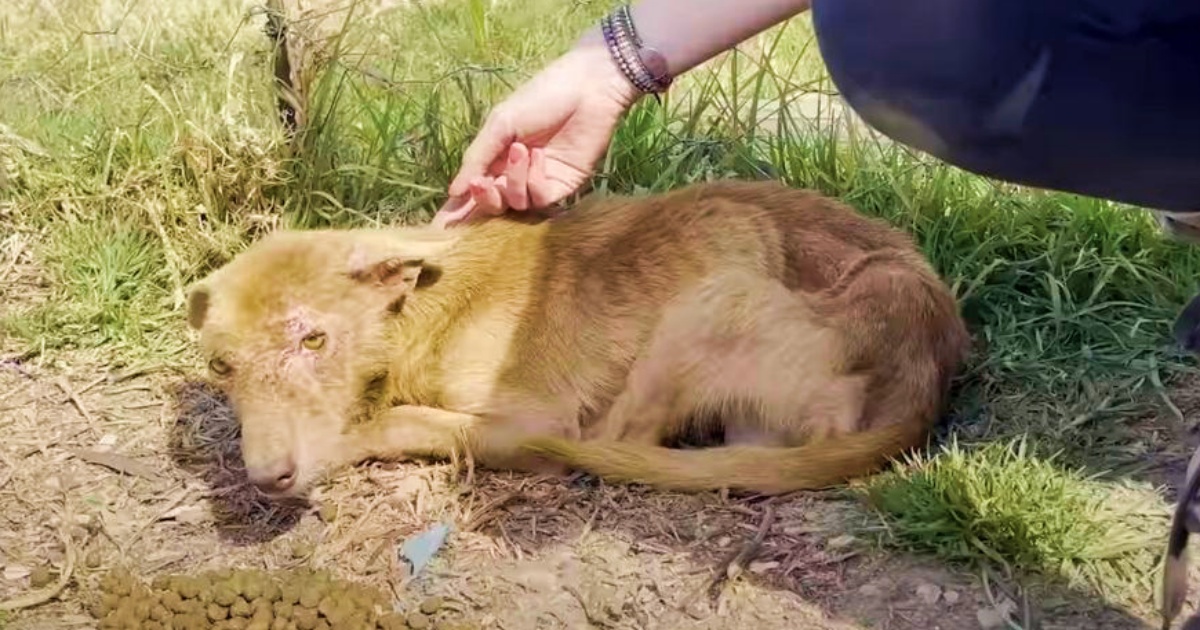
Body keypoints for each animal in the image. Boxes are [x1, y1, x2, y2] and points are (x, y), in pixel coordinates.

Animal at [189, 178, 974, 499]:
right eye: (222, 366)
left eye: (314, 341)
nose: (266, 479)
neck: (426, 308)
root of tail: (930, 362)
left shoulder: (529, 414)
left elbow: (399, 417)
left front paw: (351, 440)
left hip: (710, 299)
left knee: (621, 440)